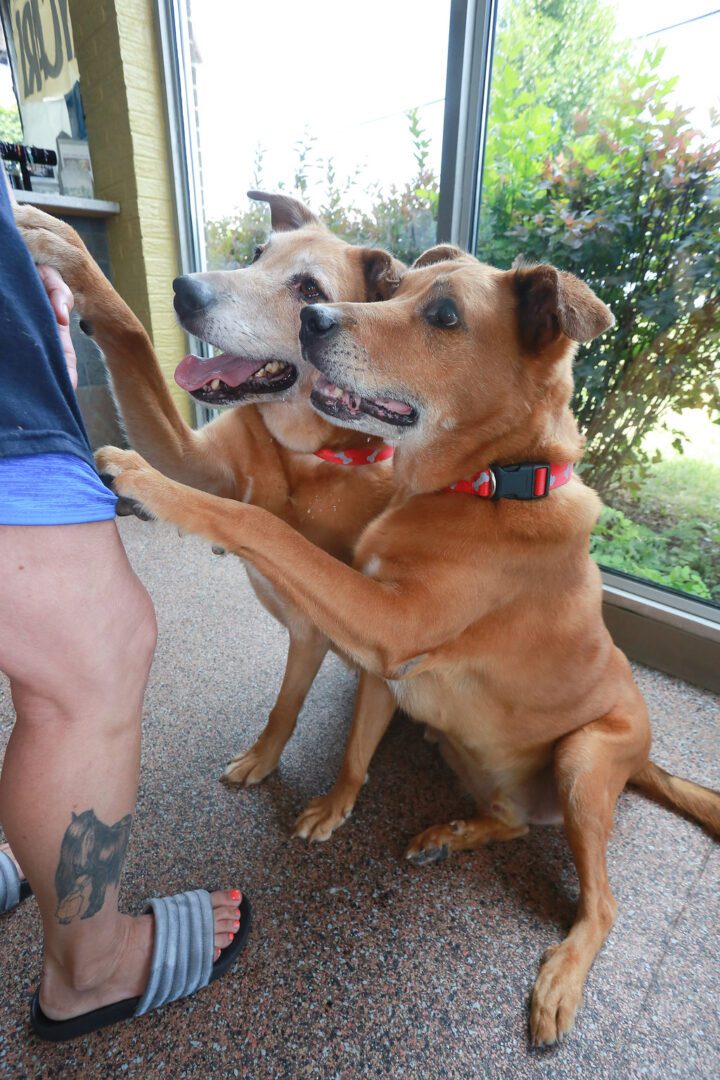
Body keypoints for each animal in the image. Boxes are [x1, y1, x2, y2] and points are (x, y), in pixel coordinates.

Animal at [15, 196, 405, 833]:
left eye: (308, 289)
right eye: (256, 254)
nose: (183, 290)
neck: (300, 455)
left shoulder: (335, 624)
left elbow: (227, 514)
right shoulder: (188, 455)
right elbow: (132, 335)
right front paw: (65, 246)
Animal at [97, 247, 720, 1045]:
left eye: (444, 315)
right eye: (395, 290)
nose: (311, 319)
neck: (483, 487)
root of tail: (644, 763)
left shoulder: (386, 623)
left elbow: (258, 523)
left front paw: (148, 480)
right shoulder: (382, 667)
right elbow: (356, 752)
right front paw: (336, 807)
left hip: (584, 759)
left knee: (604, 904)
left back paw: (561, 977)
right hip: (458, 746)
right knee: (513, 822)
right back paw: (452, 834)